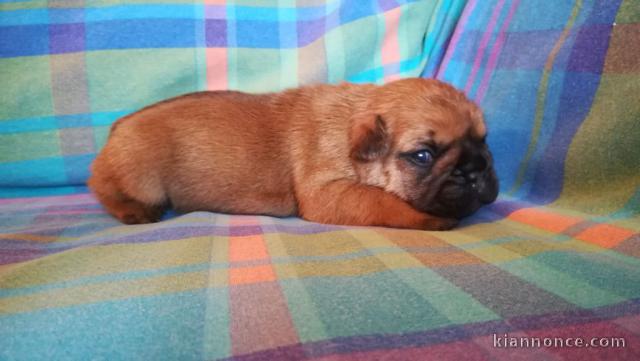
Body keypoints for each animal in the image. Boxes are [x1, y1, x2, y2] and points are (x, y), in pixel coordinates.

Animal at [87, 77, 498, 229]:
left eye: (484, 140)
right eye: (423, 155)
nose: (475, 169)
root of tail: (117, 127)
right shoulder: (330, 193)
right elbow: (383, 201)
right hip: (139, 175)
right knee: (104, 190)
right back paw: (135, 211)